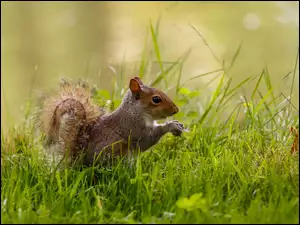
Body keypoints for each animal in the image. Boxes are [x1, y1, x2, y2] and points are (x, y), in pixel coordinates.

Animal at [38, 76, 184, 166]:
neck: (136, 111)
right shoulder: (134, 128)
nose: (176, 110)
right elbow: (148, 139)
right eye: (156, 99)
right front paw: (170, 126)